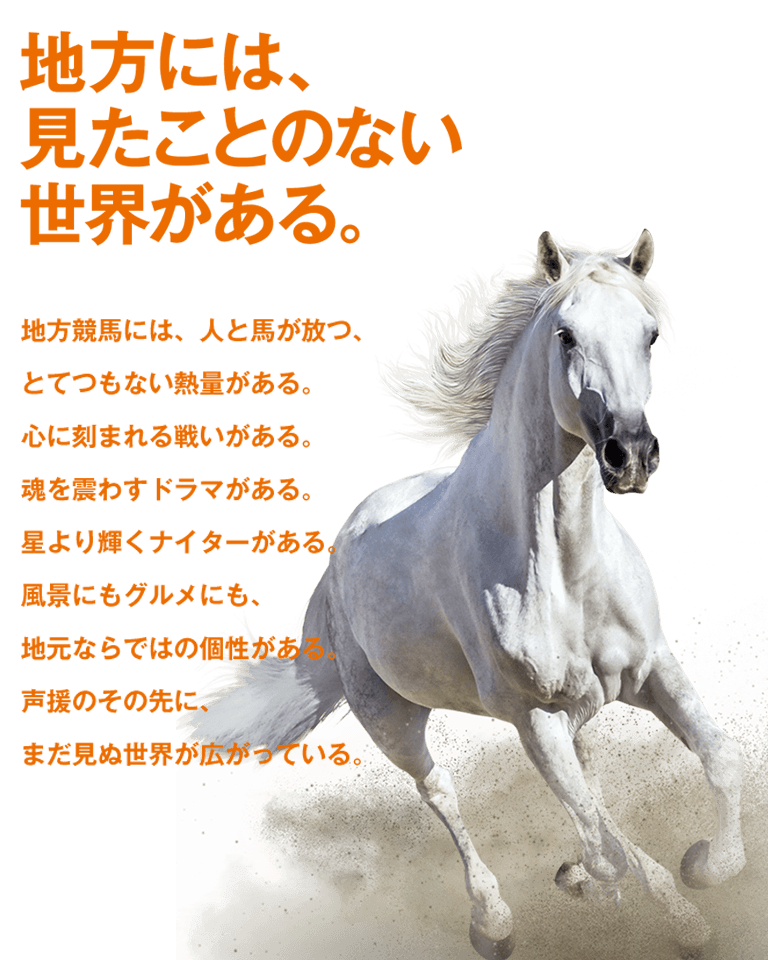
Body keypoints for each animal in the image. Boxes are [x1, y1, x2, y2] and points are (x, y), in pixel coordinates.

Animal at [178, 230, 746, 959]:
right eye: (566, 335)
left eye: (648, 336)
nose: (630, 457)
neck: (562, 567)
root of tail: (340, 559)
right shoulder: (532, 715)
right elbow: (600, 836)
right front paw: (665, 906)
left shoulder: (650, 668)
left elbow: (720, 758)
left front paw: (704, 867)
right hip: (391, 716)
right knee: (442, 790)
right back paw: (493, 921)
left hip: (580, 706)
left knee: (589, 781)